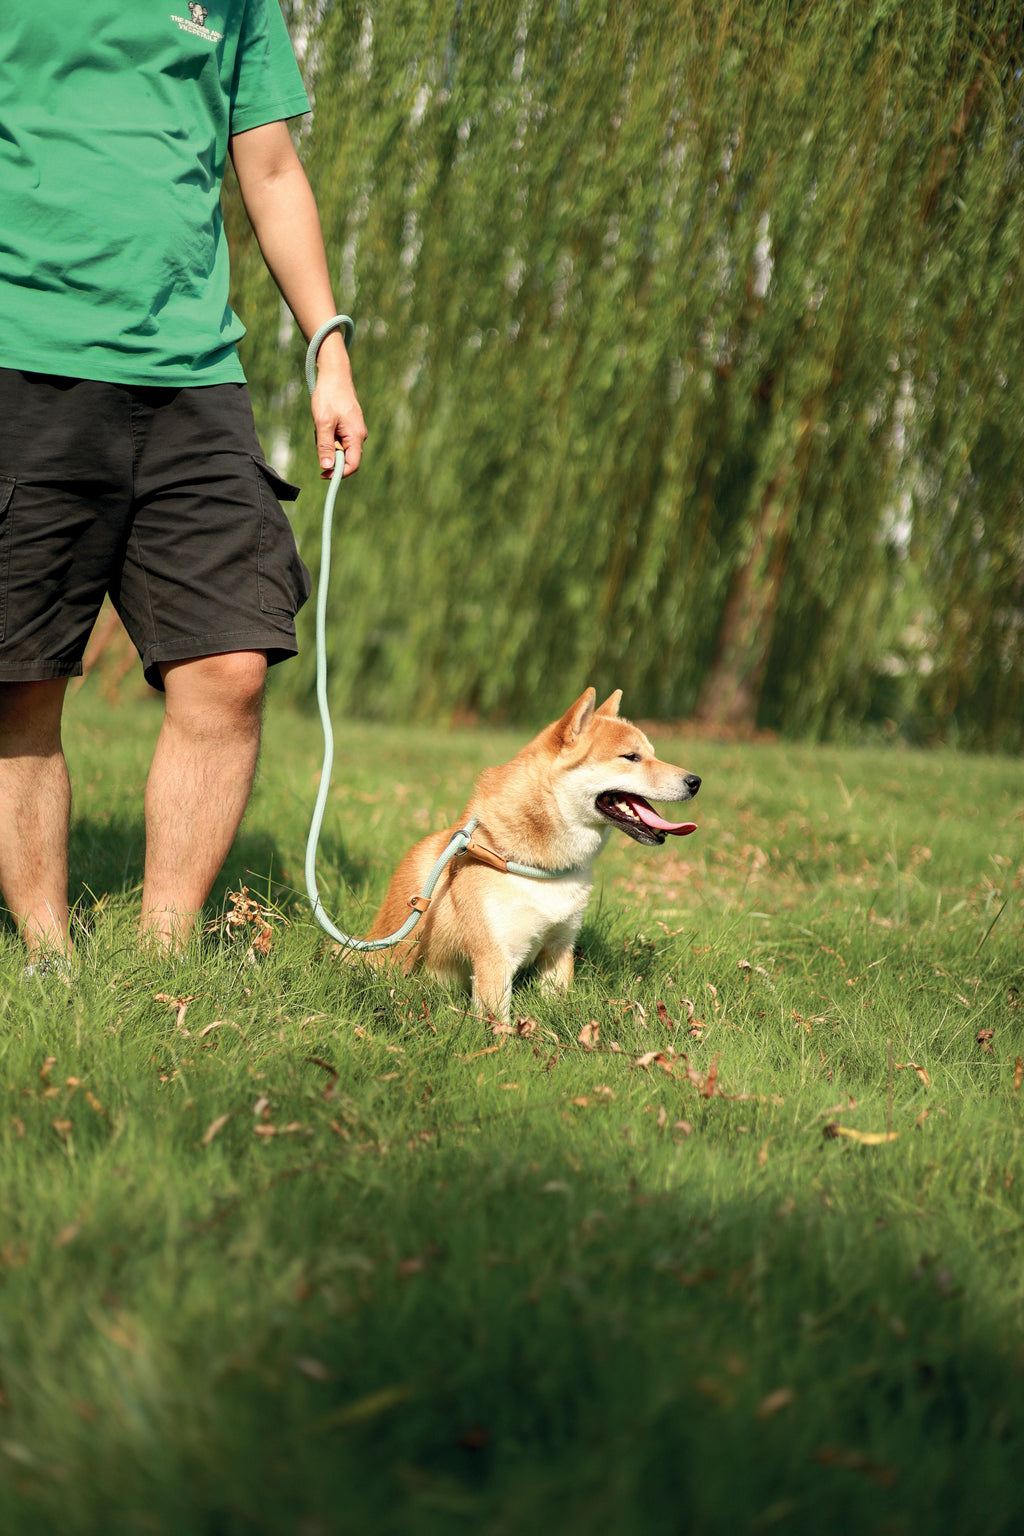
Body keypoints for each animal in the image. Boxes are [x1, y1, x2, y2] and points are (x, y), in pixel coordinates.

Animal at [362, 688, 706, 1019]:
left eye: (652, 754)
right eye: (630, 757)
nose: (695, 781)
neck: (533, 866)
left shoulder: (559, 949)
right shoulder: (495, 959)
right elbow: (497, 1023)